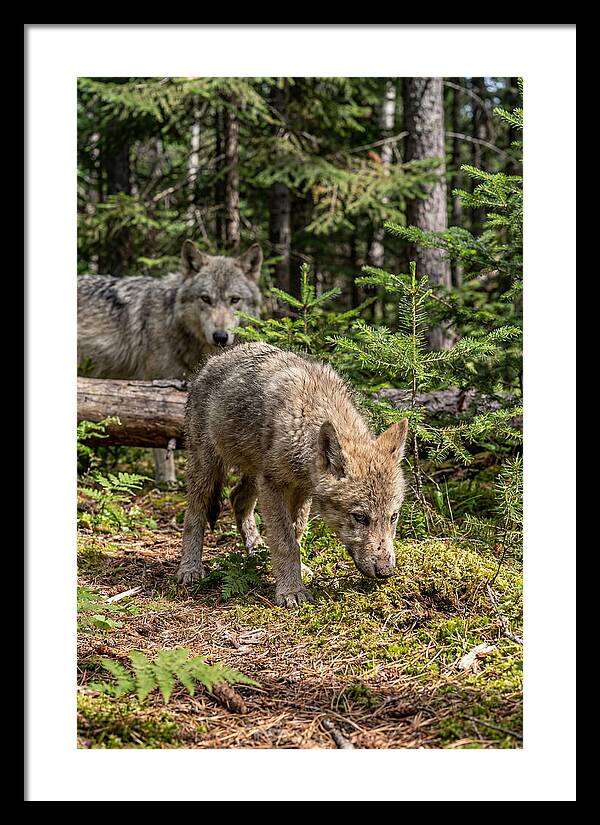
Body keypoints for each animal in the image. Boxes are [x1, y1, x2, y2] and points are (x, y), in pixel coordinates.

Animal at [77, 240, 263, 482]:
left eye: (235, 300)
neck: (173, 321)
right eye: (206, 298)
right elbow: (161, 442)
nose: (221, 337)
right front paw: (168, 481)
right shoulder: (156, 389)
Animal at [177, 342, 409, 607]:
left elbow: (296, 534)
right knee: (195, 513)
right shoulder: (274, 486)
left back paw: (256, 550)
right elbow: (285, 541)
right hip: (208, 469)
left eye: (393, 517)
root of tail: (213, 360)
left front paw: (296, 572)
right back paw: (190, 568)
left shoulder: (302, 490)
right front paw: (291, 591)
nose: (385, 571)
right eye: (360, 517)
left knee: (237, 498)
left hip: (254, 475)